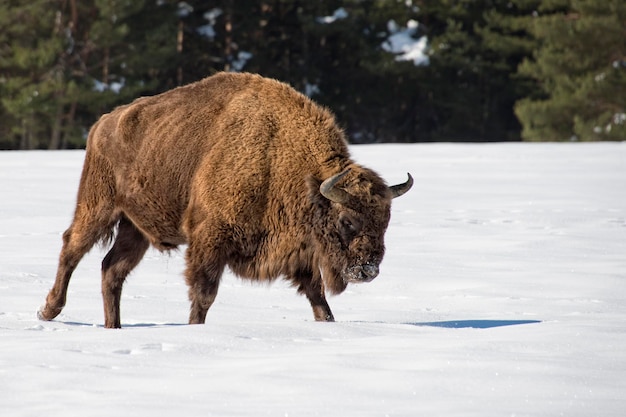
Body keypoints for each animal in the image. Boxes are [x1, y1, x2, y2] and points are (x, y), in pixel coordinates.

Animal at [36, 71, 412, 326]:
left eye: (386, 221)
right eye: (347, 221)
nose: (368, 270)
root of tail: (102, 124)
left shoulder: (300, 251)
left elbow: (316, 295)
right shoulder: (210, 239)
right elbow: (204, 294)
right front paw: (194, 329)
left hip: (135, 228)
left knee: (111, 270)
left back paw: (113, 327)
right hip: (98, 207)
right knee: (72, 249)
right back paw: (48, 310)